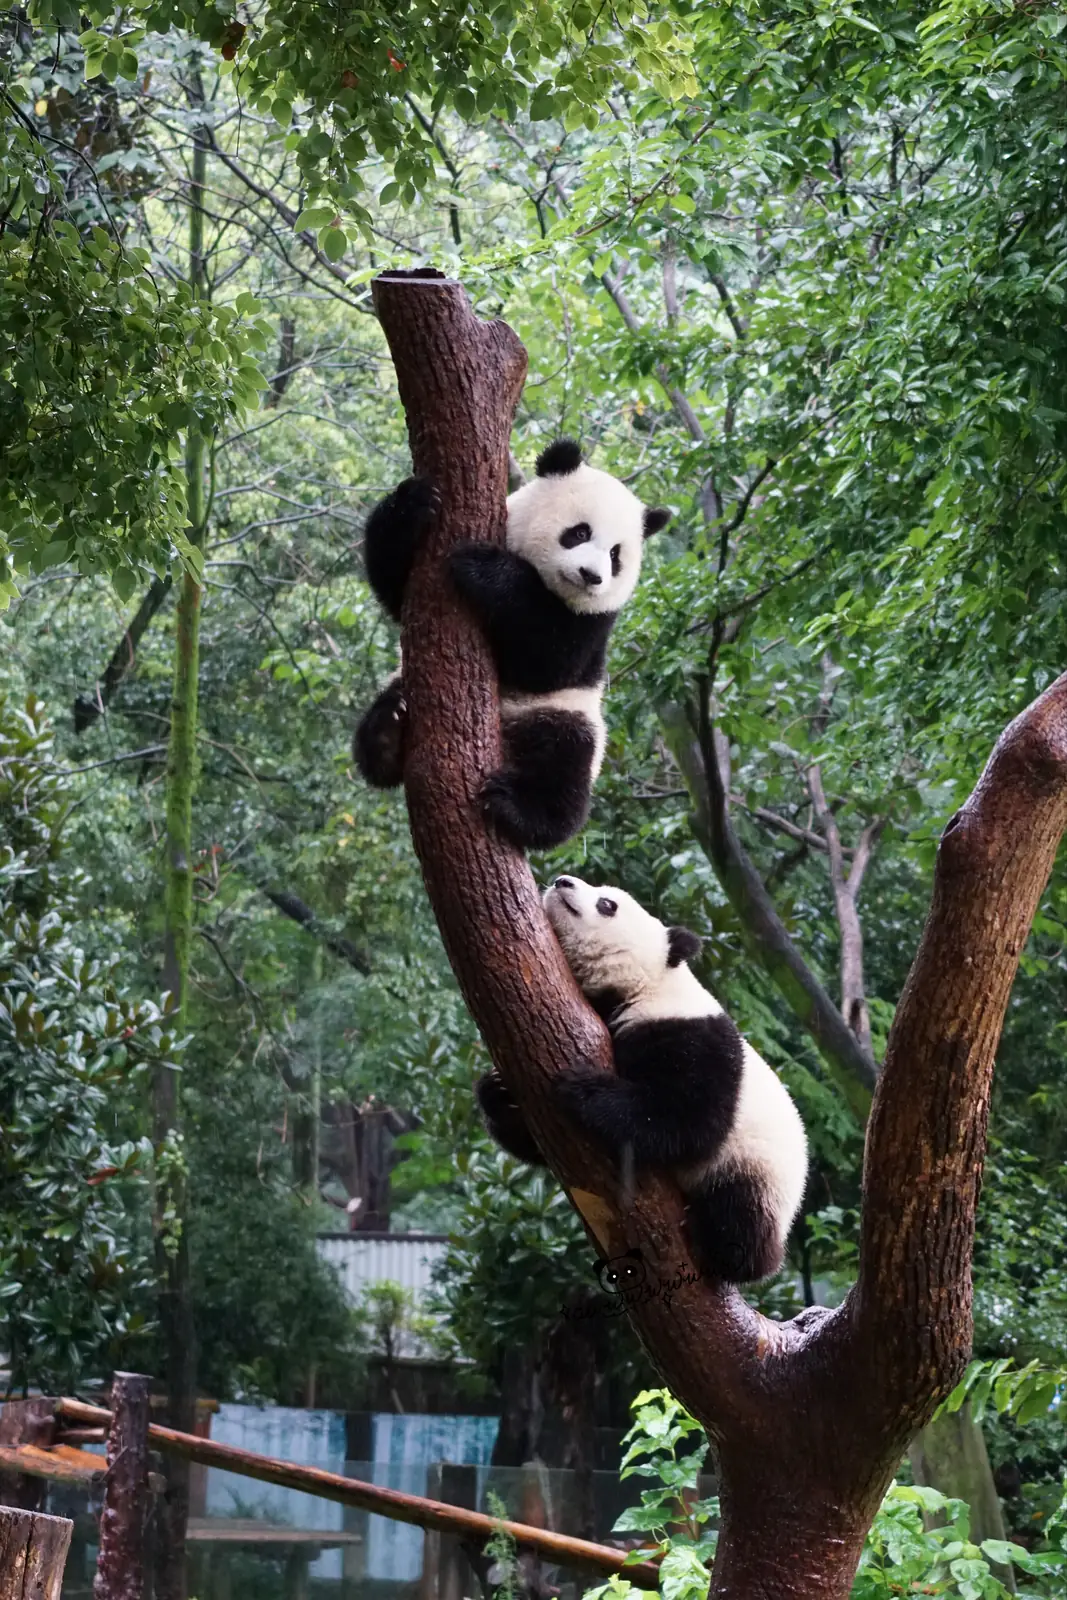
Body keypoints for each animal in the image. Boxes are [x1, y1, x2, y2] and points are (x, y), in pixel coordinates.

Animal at [353, 439, 670, 851]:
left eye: (616, 555)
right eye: (580, 533)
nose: (592, 576)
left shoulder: (595, 622)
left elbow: (549, 659)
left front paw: (483, 566)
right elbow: (394, 588)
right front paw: (414, 504)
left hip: (564, 713)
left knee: (564, 762)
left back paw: (517, 808)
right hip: (403, 679)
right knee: (377, 727)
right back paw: (386, 735)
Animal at [477, 875, 809, 1285]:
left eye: (608, 904)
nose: (561, 881)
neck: (644, 985)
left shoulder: (693, 1037)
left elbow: (685, 1119)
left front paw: (584, 1087)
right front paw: (498, 1091)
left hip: (759, 1169)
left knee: (740, 1211)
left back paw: (722, 1248)